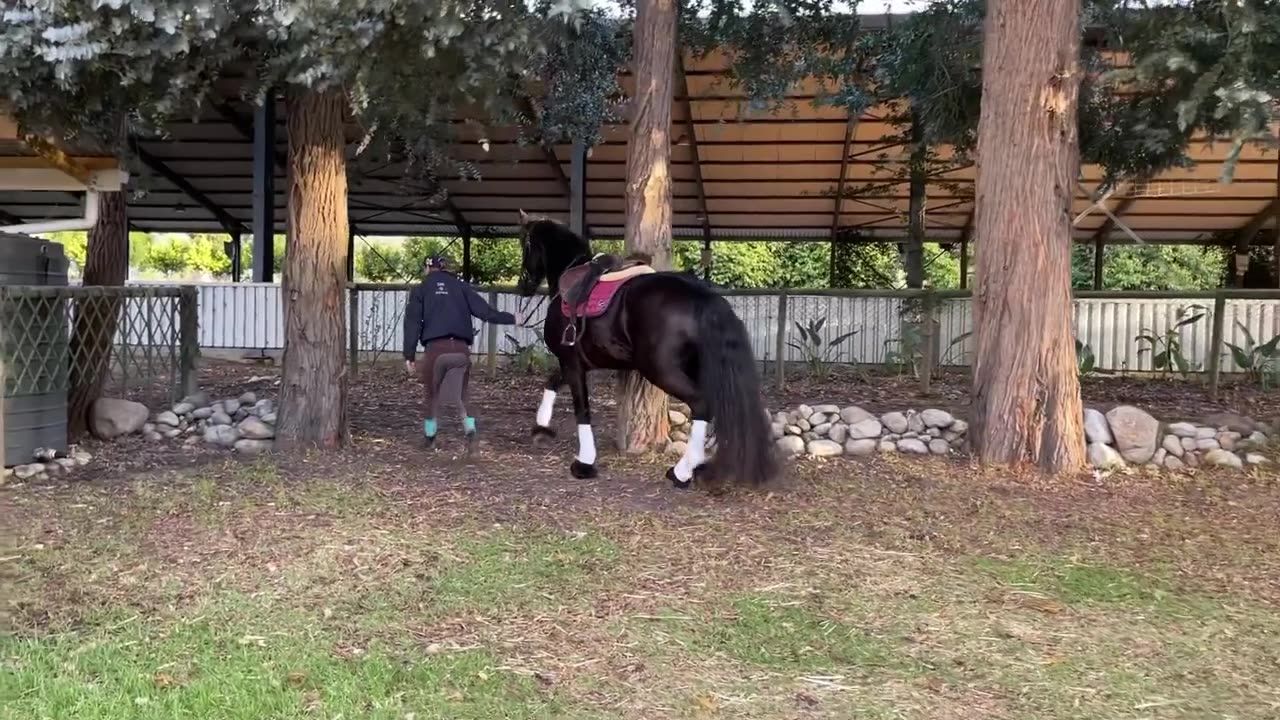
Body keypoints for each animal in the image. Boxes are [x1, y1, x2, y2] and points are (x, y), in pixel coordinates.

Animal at [512, 208, 773, 486]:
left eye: (525, 244)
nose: (523, 285)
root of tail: (701, 296)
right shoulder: (579, 361)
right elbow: (552, 382)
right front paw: (541, 428)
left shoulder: (572, 361)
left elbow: (581, 409)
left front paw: (584, 462)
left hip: (661, 370)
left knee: (701, 404)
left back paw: (682, 472)